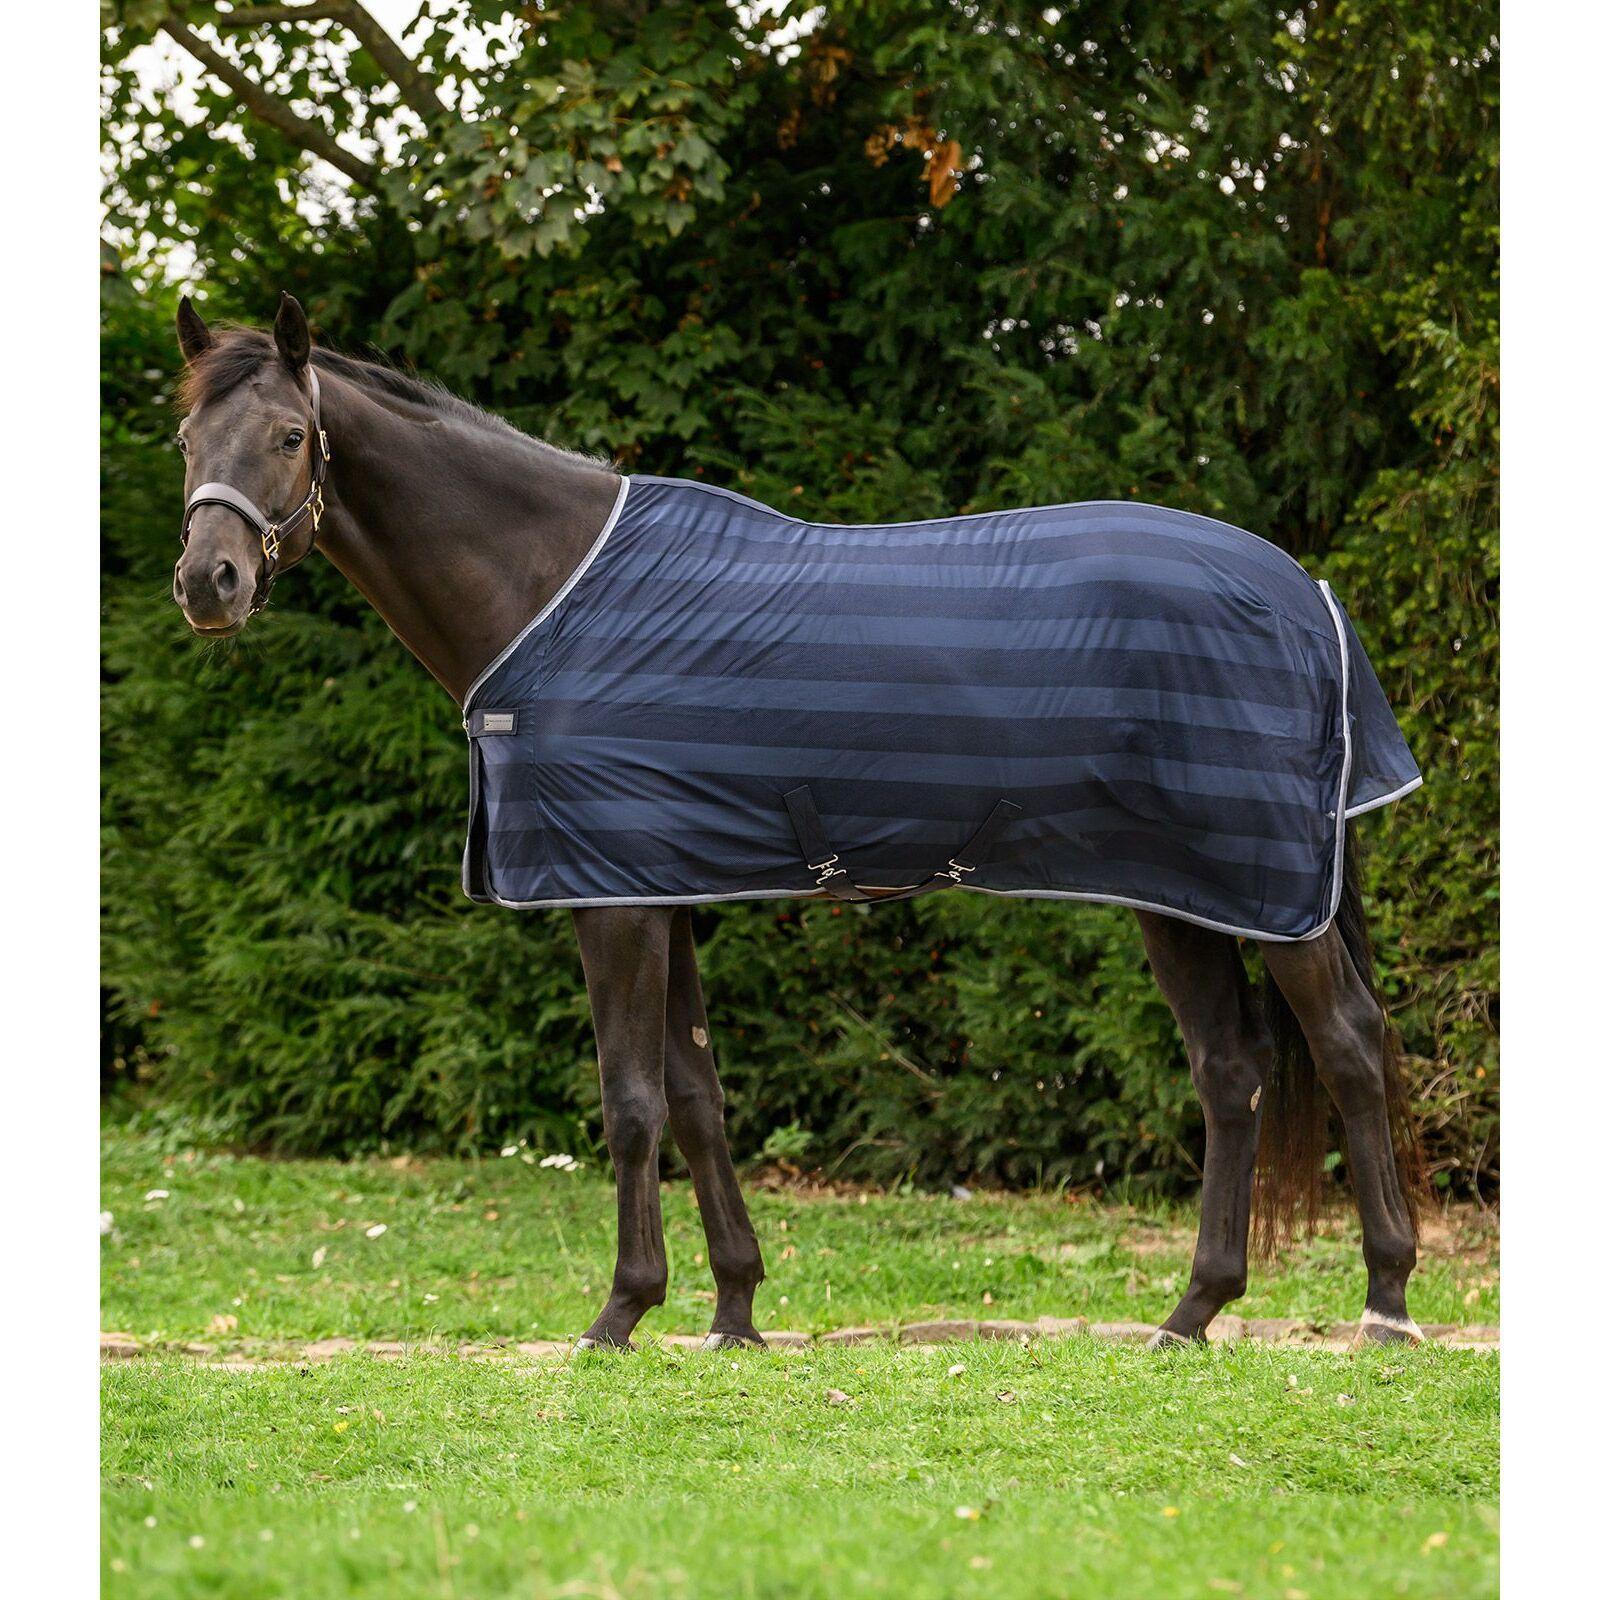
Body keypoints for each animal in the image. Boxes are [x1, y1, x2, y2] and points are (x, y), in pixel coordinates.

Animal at [167, 293, 1426, 1352]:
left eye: (290, 435)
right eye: (187, 441)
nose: (207, 583)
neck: (545, 587)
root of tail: (1307, 592)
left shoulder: (608, 897)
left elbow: (629, 1102)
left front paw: (618, 1315)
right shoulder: (657, 883)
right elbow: (695, 1095)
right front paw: (731, 1309)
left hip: (1265, 886)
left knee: (1348, 1045)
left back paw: (1385, 1299)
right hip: (1177, 890)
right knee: (1230, 1069)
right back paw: (1192, 1310)